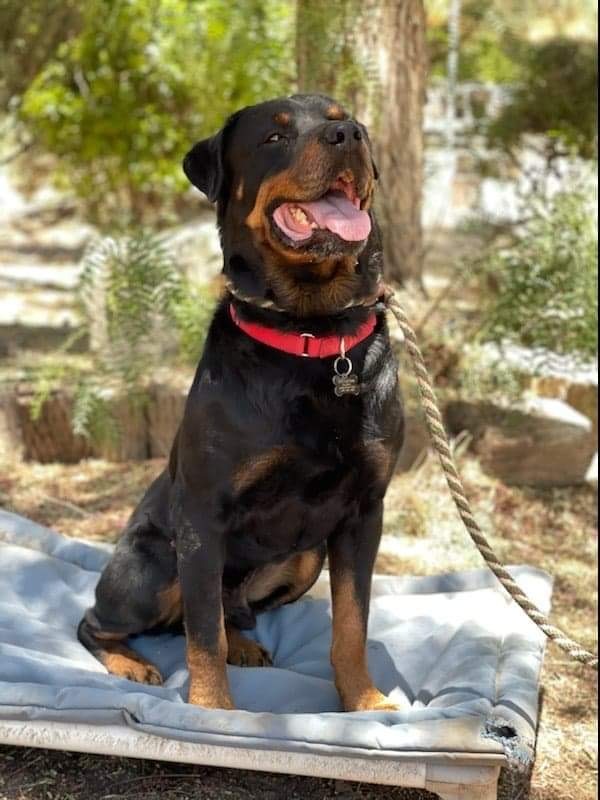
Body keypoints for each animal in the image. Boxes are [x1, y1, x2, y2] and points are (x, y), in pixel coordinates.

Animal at [76, 95, 404, 712]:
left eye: (344, 118)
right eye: (274, 138)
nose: (347, 136)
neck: (313, 336)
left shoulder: (364, 512)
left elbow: (353, 620)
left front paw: (365, 701)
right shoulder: (202, 515)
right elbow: (203, 633)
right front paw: (212, 711)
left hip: (305, 558)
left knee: (233, 612)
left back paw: (246, 646)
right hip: (152, 568)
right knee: (104, 621)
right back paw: (133, 663)